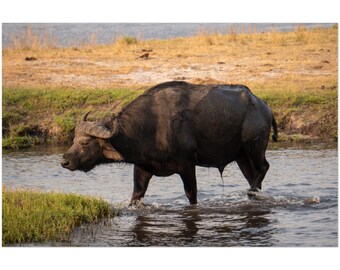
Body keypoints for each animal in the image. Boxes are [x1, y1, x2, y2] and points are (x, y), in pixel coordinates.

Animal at [61, 80, 278, 205]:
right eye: (74, 140)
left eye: (85, 143)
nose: (64, 161)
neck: (151, 126)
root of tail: (264, 107)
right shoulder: (142, 167)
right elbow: (136, 195)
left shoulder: (187, 165)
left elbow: (192, 195)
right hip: (241, 156)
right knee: (253, 176)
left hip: (254, 148)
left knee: (263, 168)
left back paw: (253, 194)